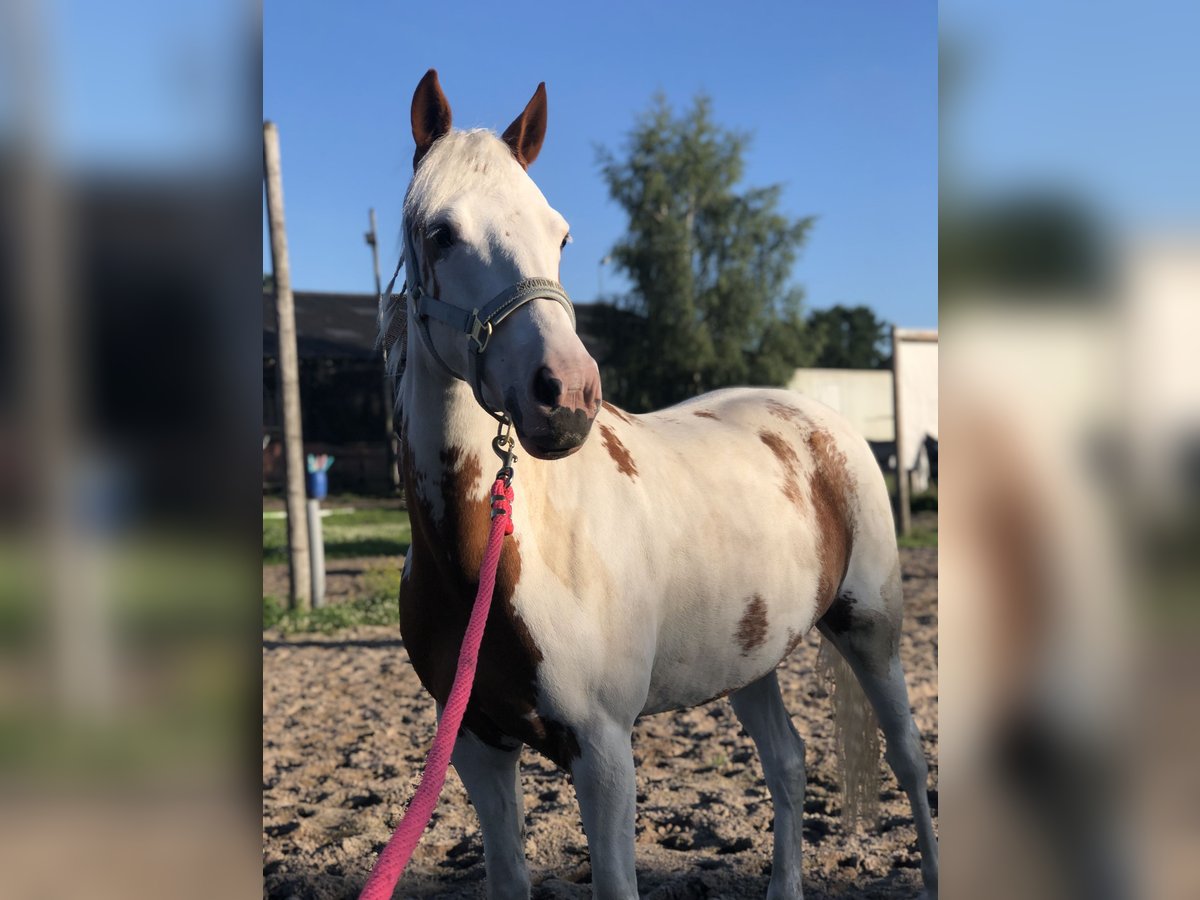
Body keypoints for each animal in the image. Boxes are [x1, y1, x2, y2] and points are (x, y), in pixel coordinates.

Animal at [381, 72, 936, 900]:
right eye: (441, 232)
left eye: (561, 235)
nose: (566, 395)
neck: (497, 556)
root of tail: (820, 421)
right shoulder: (479, 746)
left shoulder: (605, 752)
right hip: (751, 656)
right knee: (788, 762)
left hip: (873, 633)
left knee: (908, 760)